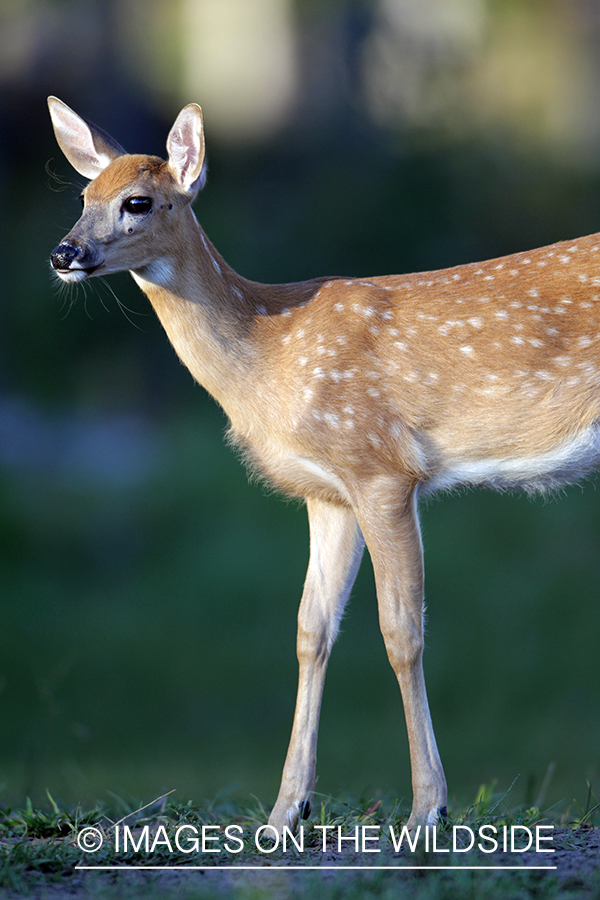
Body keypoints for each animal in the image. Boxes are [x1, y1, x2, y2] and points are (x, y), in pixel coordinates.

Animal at [47, 96, 600, 834]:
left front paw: (428, 810)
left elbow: (401, 632)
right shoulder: (327, 492)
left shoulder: (381, 467)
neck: (271, 350)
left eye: (137, 201)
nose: (64, 253)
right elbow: (311, 630)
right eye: (83, 196)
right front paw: (286, 811)